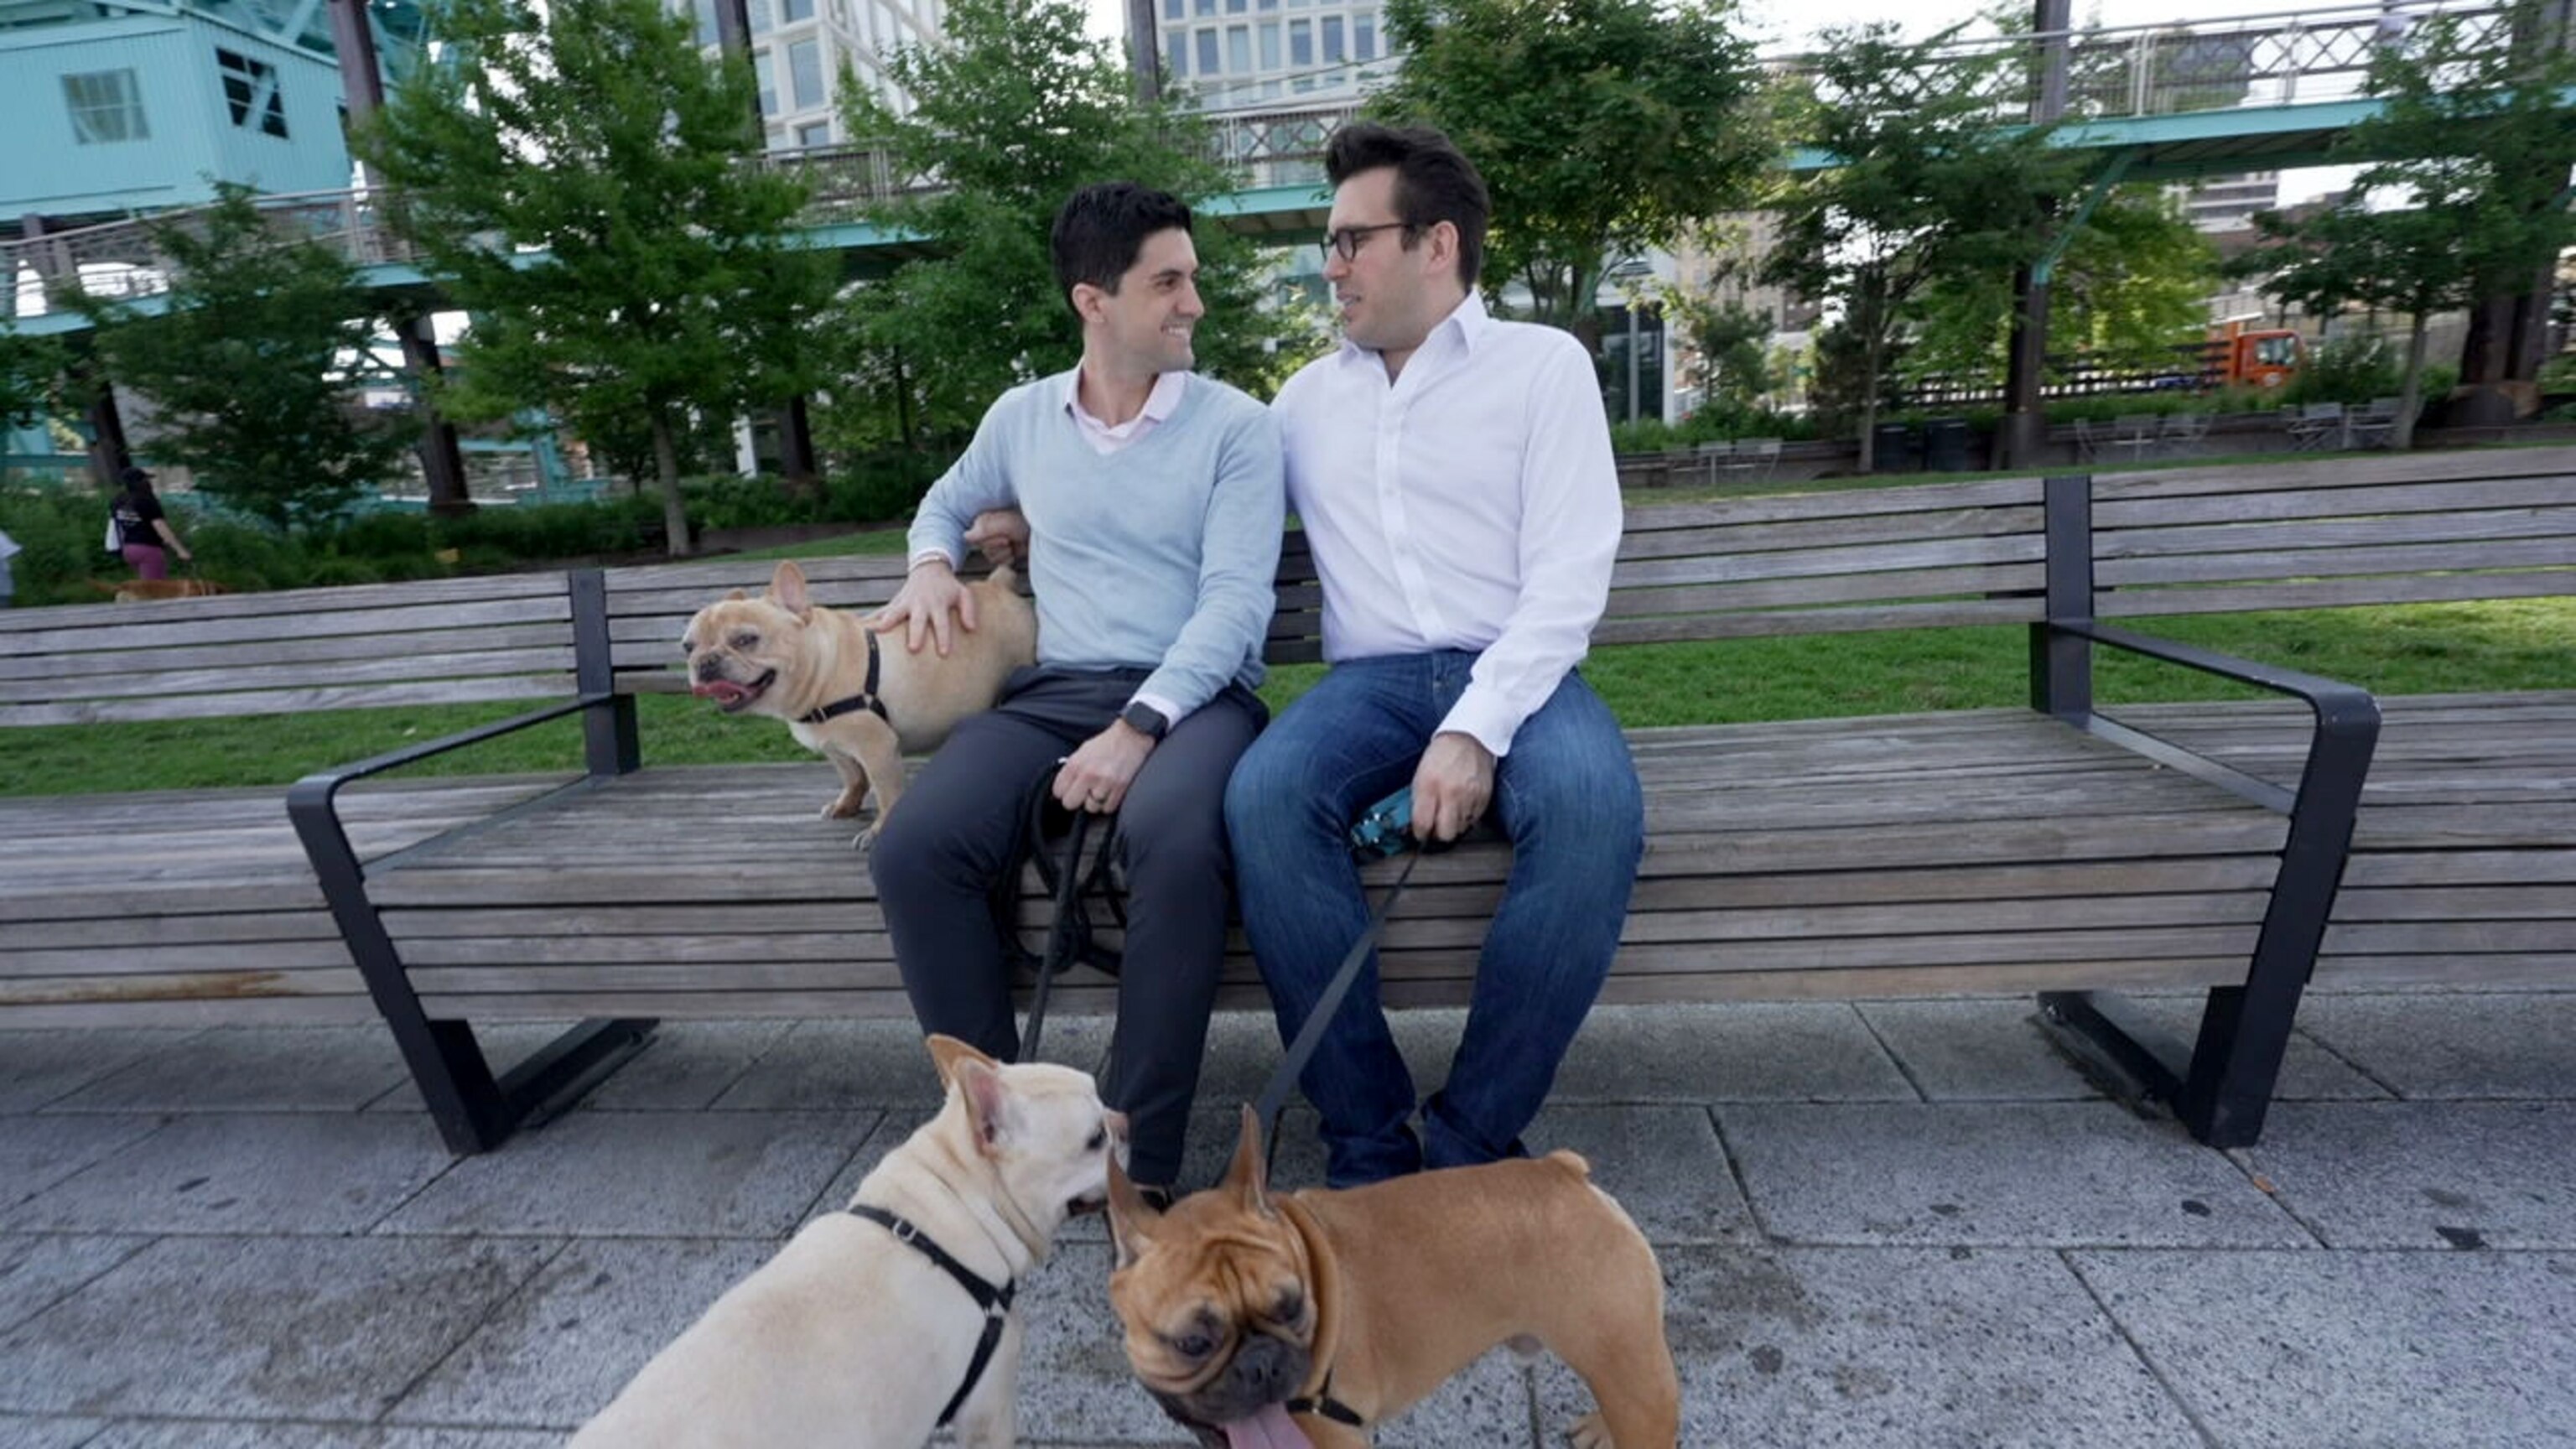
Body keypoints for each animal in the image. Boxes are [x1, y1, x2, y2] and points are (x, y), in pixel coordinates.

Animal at [695, 554, 1046, 845]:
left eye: (745, 640)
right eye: (688, 646)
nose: (704, 662)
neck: (823, 668)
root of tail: (997, 585)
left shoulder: (877, 749)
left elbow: (886, 793)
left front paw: (878, 830)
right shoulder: (836, 749)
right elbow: (853, 778)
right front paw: (846, 805)